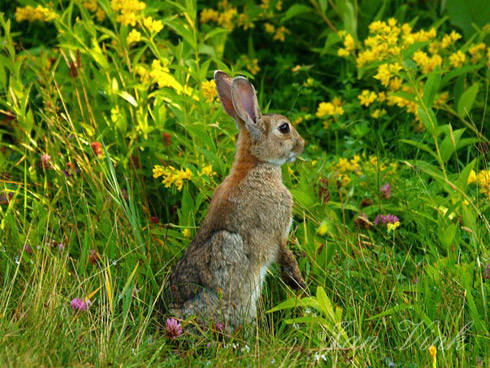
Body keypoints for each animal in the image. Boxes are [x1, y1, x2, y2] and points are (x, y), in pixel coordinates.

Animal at [163, 70, 304, 332]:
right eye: (284, 127)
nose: (302, 144)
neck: (257, 164)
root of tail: (177, 315)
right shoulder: (278, 234)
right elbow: (286, 258)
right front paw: (299, 283)